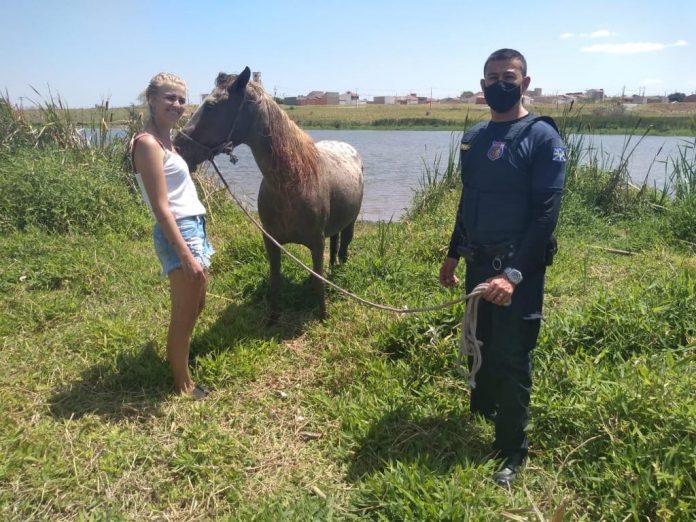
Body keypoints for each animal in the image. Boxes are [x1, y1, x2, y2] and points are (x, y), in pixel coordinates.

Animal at [174, 67, 364, 321]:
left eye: (211, 105)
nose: (178, 146)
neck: (293, 183)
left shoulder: (316, 243)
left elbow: (318, 281)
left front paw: (323, 316)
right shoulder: (271, 242)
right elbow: (275, 280)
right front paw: (273, 318)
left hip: (350, 224)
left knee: (343, 251)